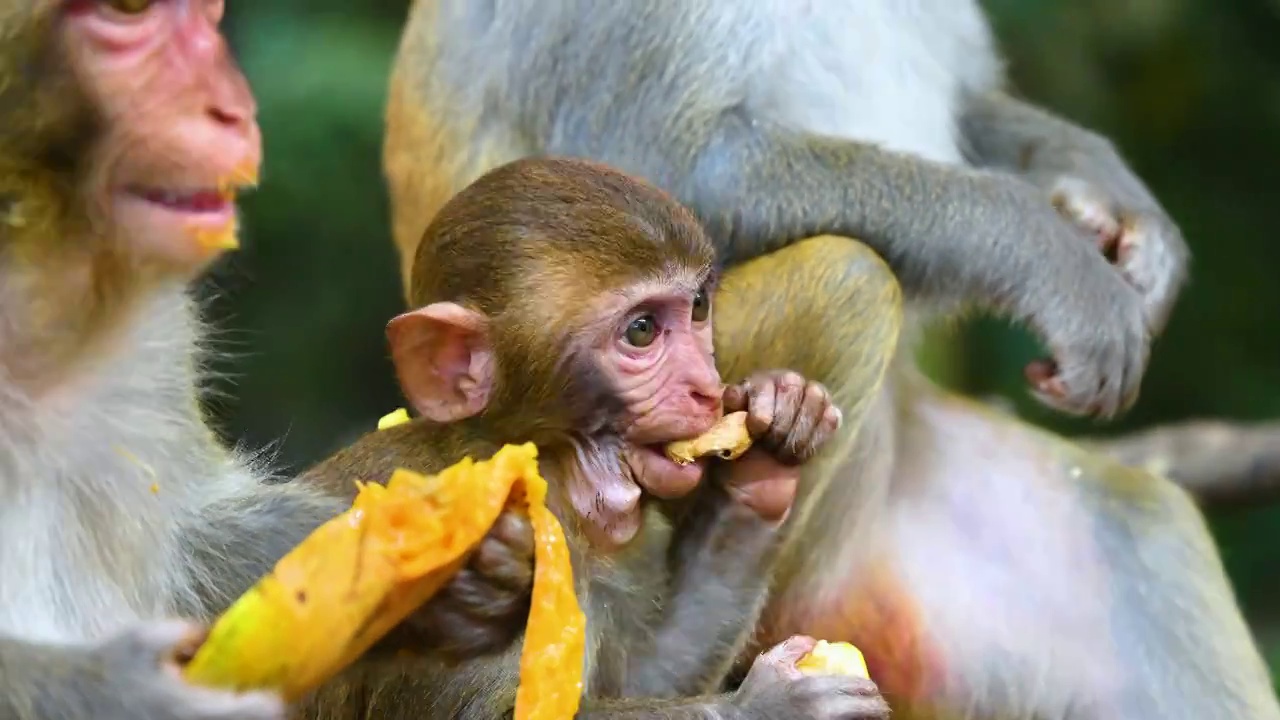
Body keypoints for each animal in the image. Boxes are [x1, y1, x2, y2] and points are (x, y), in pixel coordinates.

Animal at [299, 156, 885, 717]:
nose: (707, 389)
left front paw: (774, 435)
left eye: (698, 307)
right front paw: (770, 704)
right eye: (642, 331)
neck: (553, 477)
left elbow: (650, 675)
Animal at [378, 1, 1280, 717]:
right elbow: (680, 171)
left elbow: (975, 104)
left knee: (1144, 524)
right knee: (849, 276)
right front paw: (1048, 254)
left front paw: (1108, 197)